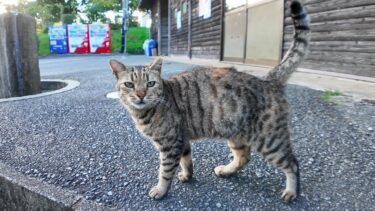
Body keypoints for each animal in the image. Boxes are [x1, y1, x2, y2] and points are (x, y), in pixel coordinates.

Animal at [108, 0, 312, 203]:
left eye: (150, 83)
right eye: (129, 84)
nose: (141, 94)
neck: (144, 113)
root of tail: (268, 80)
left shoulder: (170, 144)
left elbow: (165, 172)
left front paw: (161, 189)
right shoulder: (182, 140)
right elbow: (186, 161)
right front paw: (187, 175)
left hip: (270, 140)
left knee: (293, 164)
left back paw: (292, 191)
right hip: (236, 134)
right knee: (244, 157)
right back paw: (227, 170)